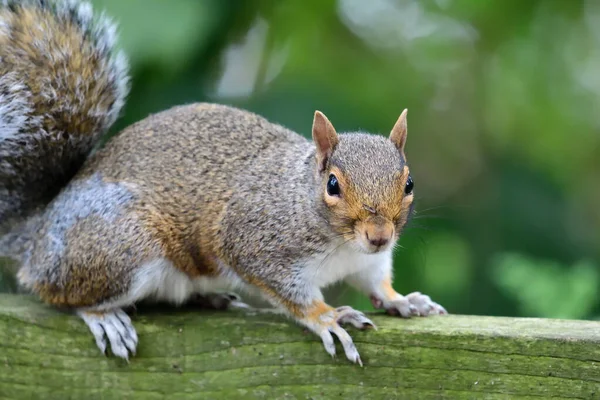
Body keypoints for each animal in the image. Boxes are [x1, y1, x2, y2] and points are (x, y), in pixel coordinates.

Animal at [0, 0, 446, 366]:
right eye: (333, 185)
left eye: (408, 183)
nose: (379, 236)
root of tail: (38, 235)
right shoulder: (255, 245)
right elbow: (293, 296)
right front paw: (329, 317)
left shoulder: (367, 262)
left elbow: (376, 282)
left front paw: (403, 300)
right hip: (122, 248)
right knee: (61, 294)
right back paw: (103, 316)